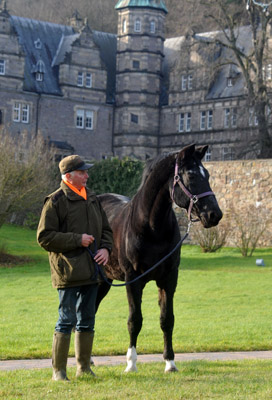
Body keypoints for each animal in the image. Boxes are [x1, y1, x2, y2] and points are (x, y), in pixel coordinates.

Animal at [96, 144, 222, 372]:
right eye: (191, 175)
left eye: (207, 174)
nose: (214, 214)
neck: (151, 227)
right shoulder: (132, 280)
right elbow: (134, 320)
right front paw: (131, 364)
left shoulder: (169, 278)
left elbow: (167, 319)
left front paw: (170, 362)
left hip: (104, 281)